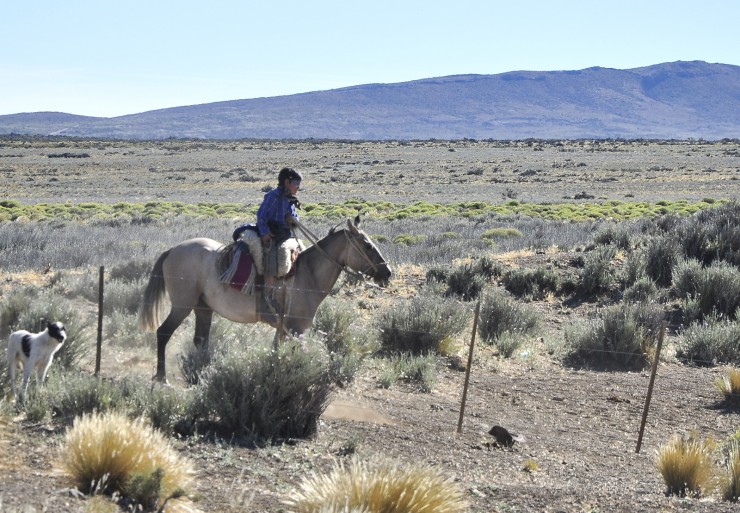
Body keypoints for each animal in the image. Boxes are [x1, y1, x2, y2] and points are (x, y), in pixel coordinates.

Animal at [140, 215, 394, 380]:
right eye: (367, 245)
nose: (388, 272)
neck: (308, 273)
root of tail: (172, 250)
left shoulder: (284, 328)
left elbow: (277, 353)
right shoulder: (296, 328)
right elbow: (299, 353)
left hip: (203, 308)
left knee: (200, 341)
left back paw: (200, 373)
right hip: (182, 305)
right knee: (163, 332)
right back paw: (162, 377)